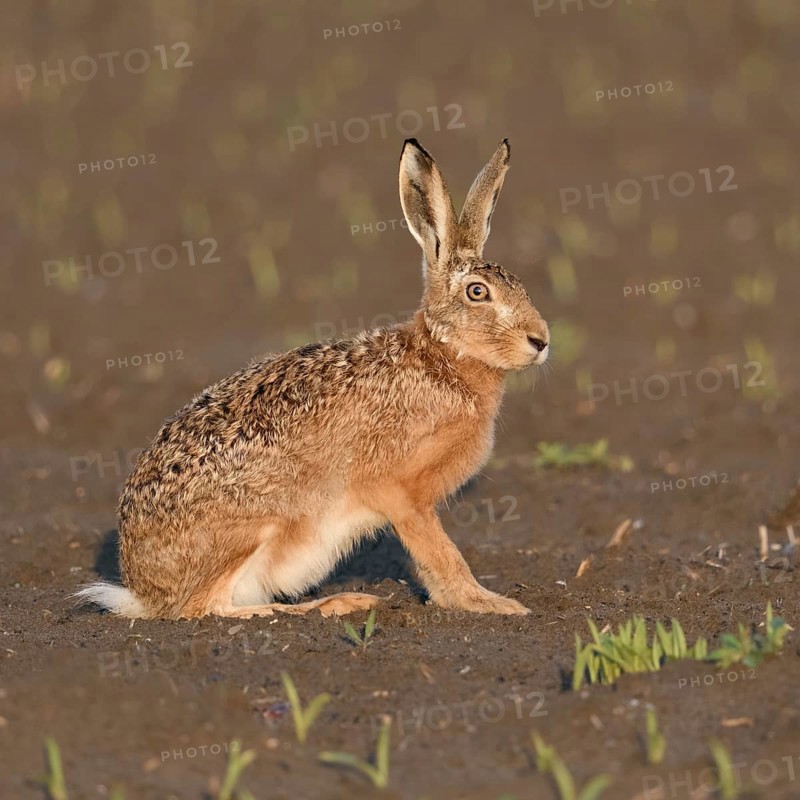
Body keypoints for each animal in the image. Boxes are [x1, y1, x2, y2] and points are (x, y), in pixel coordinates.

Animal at [76, 137, 549, 620]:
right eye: (478, 292)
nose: (541, 340)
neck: (442, 354)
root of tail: (142, 590)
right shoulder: (401, 493)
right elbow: (440, 552)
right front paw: (490, 604)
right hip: (255, 526)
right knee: (205, 607)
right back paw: (337, 603)